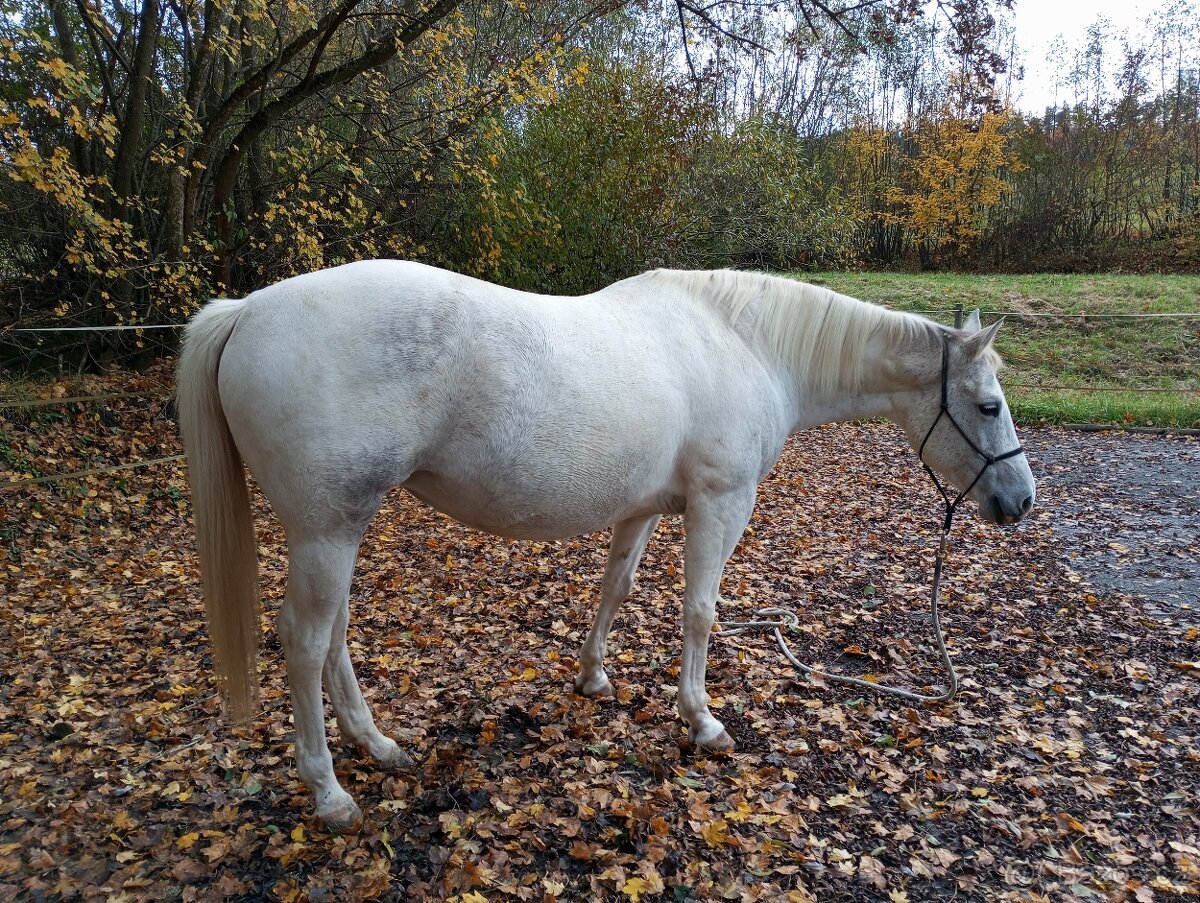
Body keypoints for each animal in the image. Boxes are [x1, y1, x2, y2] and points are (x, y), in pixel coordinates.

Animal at [176, 260, 1035, 830]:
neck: (747, 344)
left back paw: (379, 744)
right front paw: (701, 720)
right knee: (305, 640)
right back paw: (330, 792)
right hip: (327, 529)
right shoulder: (721, 504)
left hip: (341, 528)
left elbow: (615, 588)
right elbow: (699, 612)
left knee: (336, 639)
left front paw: (593, 677)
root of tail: (249, 310)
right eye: (989, 405)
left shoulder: (647, 507)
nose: (1019, 501)